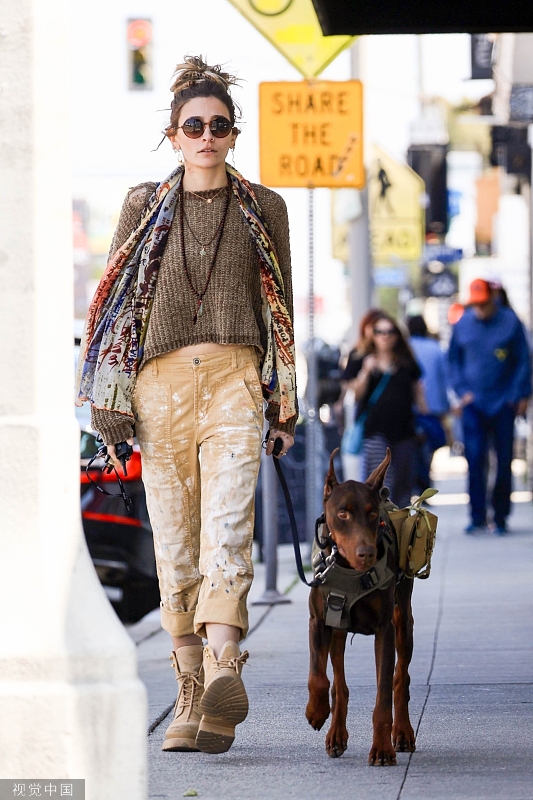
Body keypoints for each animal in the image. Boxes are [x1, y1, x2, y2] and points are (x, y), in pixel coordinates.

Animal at [304, 446, 416, 764]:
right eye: (343, 513)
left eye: (373, 513)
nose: (366, 553)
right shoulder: (318, 620)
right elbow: (318, 677)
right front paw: (316, 711)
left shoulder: (384, 629)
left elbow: (383, 695)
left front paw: (382, 749)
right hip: (338, 628)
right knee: (339, 684)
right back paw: (335, 734)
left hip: (403, 622)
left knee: (401, 677)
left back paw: (403, 733)